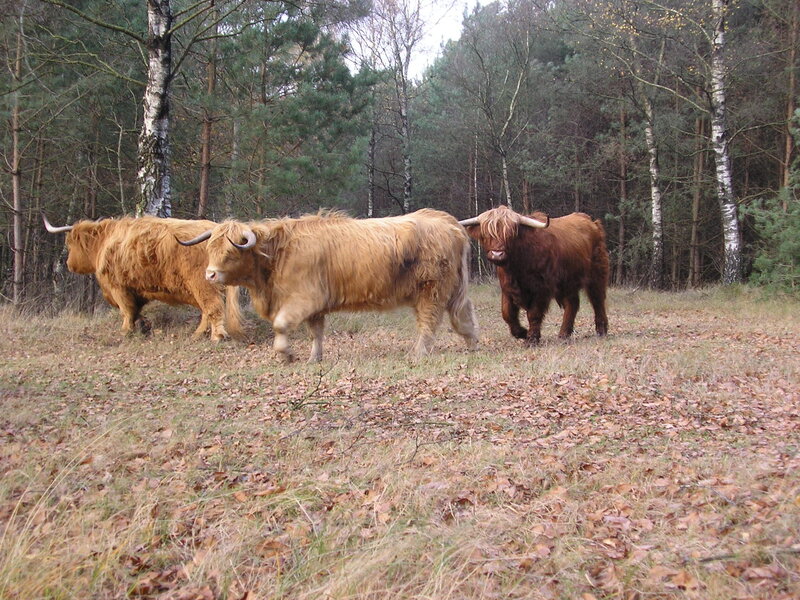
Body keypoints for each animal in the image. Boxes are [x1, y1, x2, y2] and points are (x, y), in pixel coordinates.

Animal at [44, 215, 242, 341]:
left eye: (70, 244)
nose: (68, 264)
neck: (103, 242)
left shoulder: (118, 287)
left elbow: (126, 310)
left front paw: (125, 332)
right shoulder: (136, 291)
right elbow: (135, 311)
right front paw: (142, 327)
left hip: (202, 283)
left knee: (212, 307)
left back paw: (216, 337)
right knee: (206, 310)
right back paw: (198, 334)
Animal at [177, 209, 479, 363]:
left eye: (231, 252)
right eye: (210, 249)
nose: (210, 275)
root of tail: (446, 220)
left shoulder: (303, 299)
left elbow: (281, 325)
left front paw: (286, 354)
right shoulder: (315, 306)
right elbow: (316, 333)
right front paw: (314, 358)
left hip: (431, 290)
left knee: (429, 323)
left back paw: (418, 354)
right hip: (451, 291)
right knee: (463, 315)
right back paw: (472, 344)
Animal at [459, 205, 609, 345]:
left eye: (511, 233)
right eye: (486, 233)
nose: (497, 254)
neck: (516, 269)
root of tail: (592, 222)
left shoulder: (541, 289)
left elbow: (534, 314)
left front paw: (531, 339)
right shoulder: (507, 289)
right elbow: (507, 313)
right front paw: (521, 333)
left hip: (597, 274)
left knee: (597, 300)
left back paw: (601, 330)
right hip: (567, 282)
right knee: (573, 303)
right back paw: (563, 334)